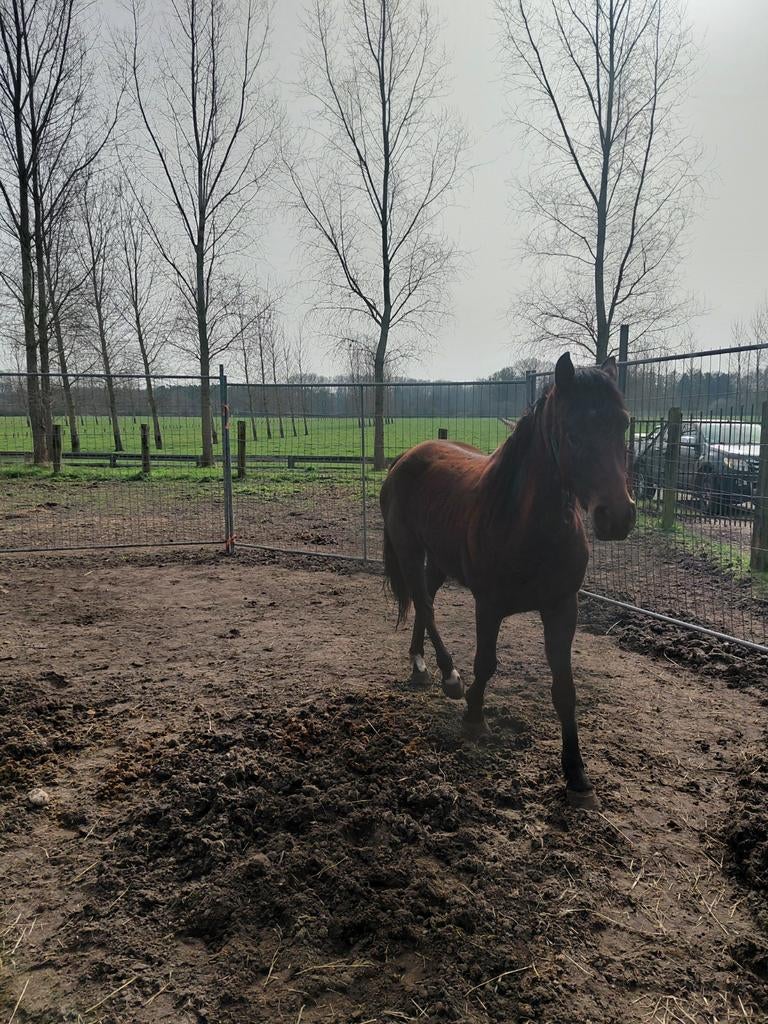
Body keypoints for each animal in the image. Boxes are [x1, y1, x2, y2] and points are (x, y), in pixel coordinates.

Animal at [379, 352, 636, 809]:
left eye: (623, 423)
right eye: (572, 432)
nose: (618, 517)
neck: (526, 522)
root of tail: (407, 455)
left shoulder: (562, 607)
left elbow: (565, 688)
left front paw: (577, 775)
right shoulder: (489, 604)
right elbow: (486, 663)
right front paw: (474, 717)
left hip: (439, 560)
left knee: (426, 602)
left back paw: (420, 664)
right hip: (409, 550)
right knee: (424, 605)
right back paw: (448, 676)